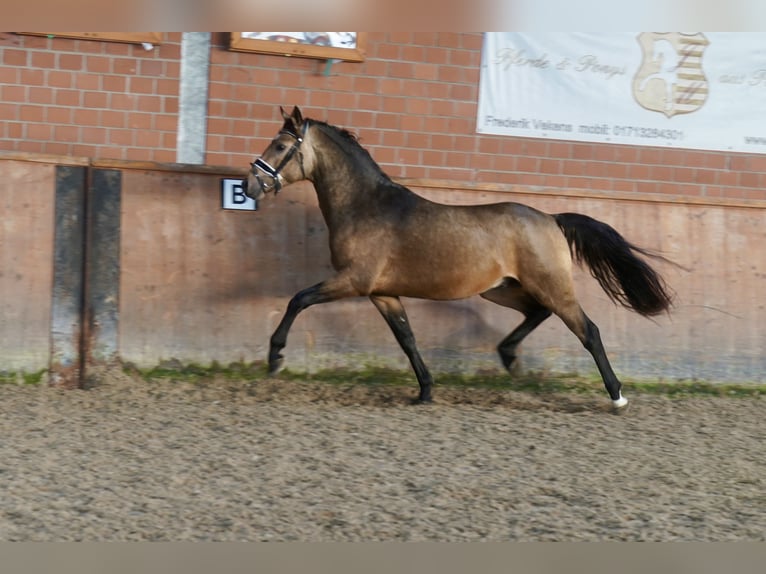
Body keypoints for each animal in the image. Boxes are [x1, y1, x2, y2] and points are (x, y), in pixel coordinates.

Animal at [244, 108, 672, 412]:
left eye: (279, 146)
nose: (250, 185)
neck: (365, 206)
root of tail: (551, 218)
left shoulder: (353, 281)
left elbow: (298, 299)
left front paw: (275, 357)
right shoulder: (383, 293)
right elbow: (407, 339)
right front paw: (425, 391)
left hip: (550, 287)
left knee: (589, 331)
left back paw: (617, 396)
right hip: (501, 290)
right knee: (537, 313)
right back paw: (509, 358)